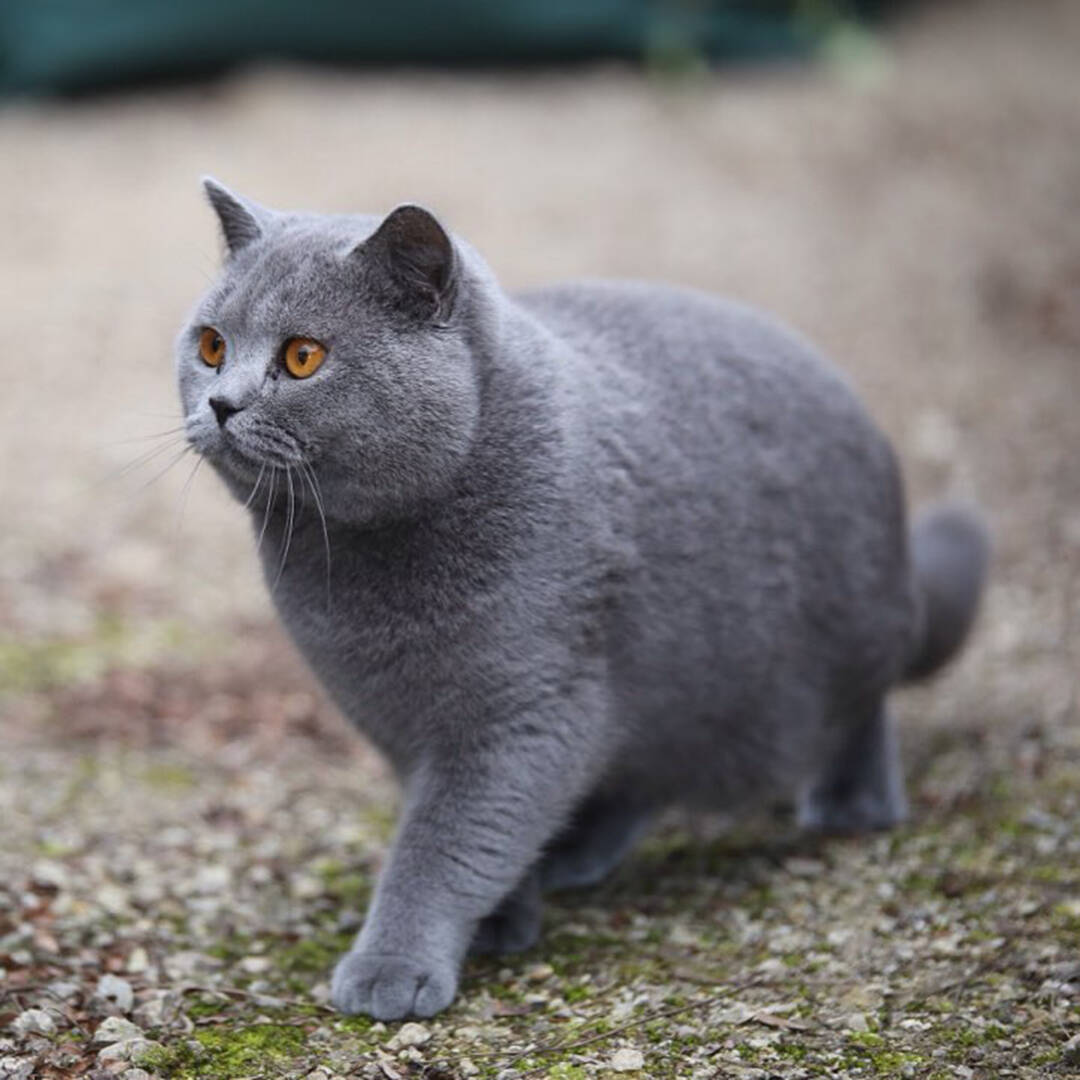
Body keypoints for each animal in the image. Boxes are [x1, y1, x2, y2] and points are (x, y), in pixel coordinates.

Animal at [174, 179, 989, 1019]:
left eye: (303, 357)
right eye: (211, 346)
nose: (223, 402)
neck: (358, 576)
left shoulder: (525, 708)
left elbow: (445, 844)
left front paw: (391, 966)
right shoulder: (407, 728)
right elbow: (465, 828)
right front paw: (501, 919)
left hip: (840, 633)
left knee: (860, 710)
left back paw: (853, 803)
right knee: (638, 771)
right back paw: (572, 850)